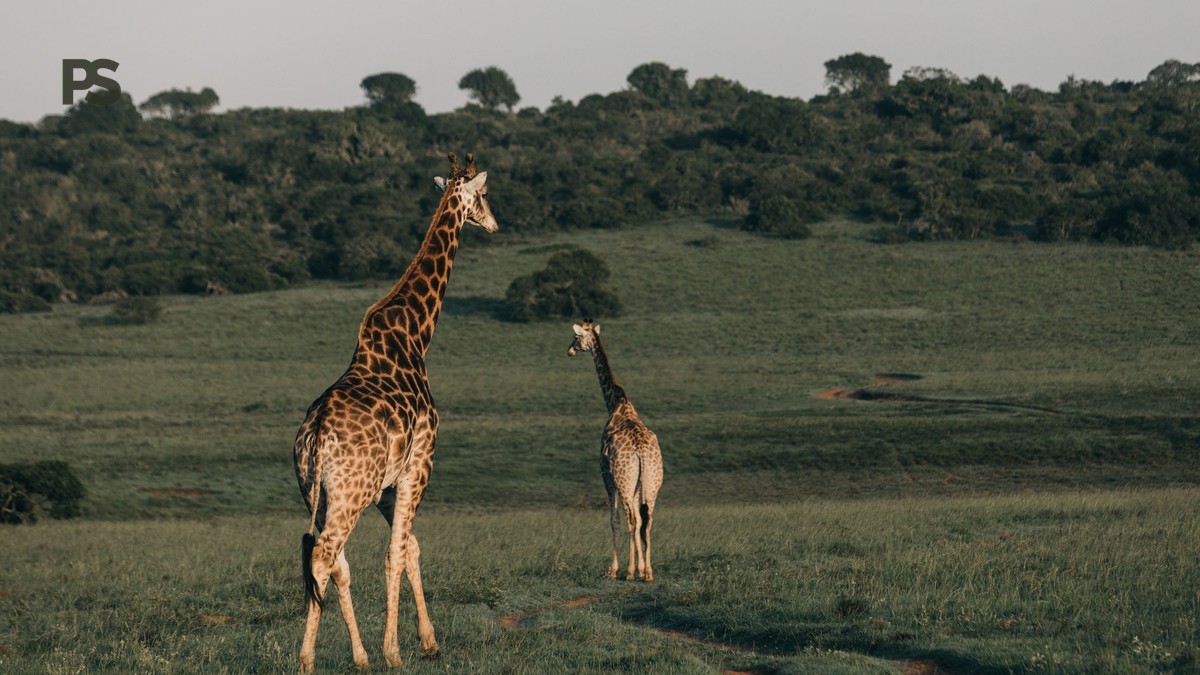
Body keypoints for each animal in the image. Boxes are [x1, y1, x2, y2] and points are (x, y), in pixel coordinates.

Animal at [293, 152, 497, 673]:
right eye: (485, 194)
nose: (493, 223)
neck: (415, 336)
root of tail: (315, 434)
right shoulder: (419, 465)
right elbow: (395, 554)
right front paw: (395, 651)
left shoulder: (387, 483)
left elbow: (411, 548)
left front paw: (426, 642)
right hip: (349, 494)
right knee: (324, 555)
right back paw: (307, 660)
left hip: (320, 493)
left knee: (334, 560)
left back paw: (358, 656)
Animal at [567, 320, 664, 582]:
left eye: (575, 337)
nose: (569, 351)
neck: (615, 402)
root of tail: (641, 451)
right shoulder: (637, 483)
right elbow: (640, 521)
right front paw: (640, 567)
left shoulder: (606, 474)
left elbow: (614, 519)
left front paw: (614, 569)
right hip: (652, 481)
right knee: (647, 520)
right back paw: (648, 573)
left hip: (623, 479)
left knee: (631, 518)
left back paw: (630, 572)